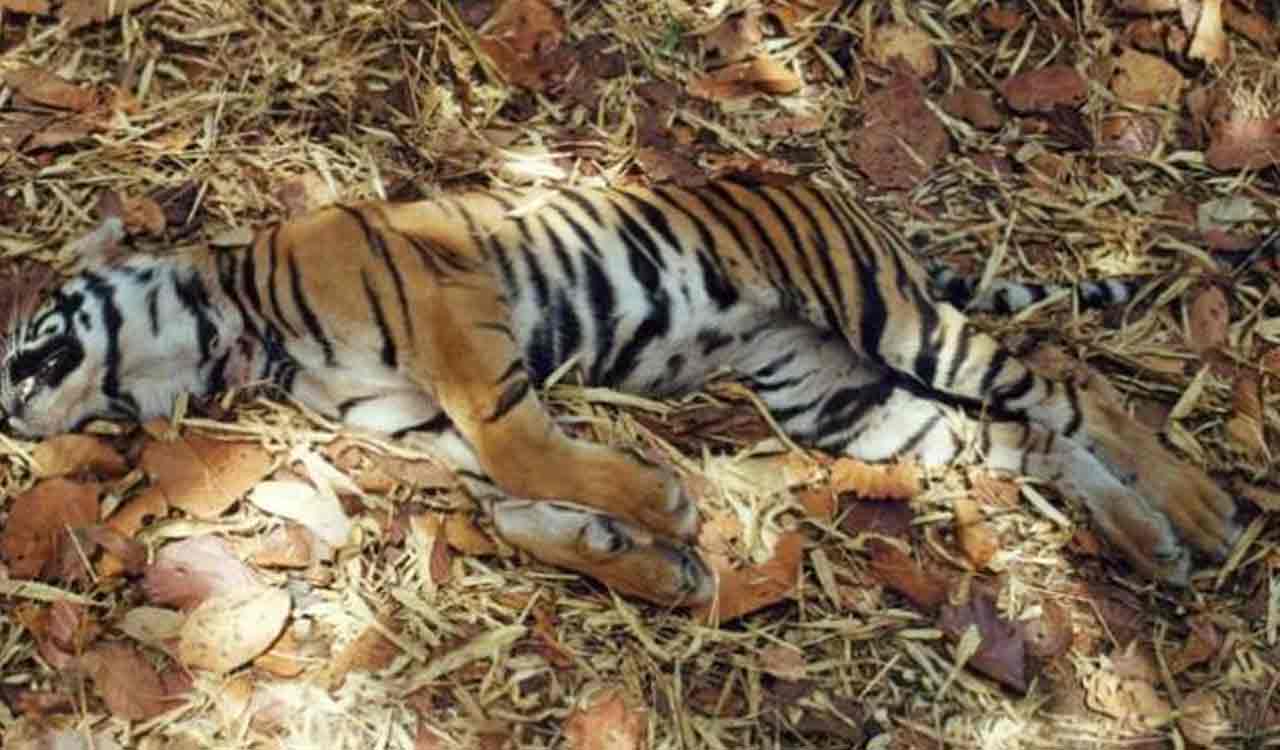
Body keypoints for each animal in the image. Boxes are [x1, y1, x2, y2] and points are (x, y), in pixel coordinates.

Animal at [0, 178, 1243, 605]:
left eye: (27, 338)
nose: (10, 414)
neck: (240, 331)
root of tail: (840, 199)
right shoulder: (427, 429)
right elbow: (513, 511)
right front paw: (650, 561)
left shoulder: (458, 321)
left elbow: (525, 456)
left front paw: (666, 509)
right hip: (852, 405)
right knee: (1019, 439)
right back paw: (1143, 540)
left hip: (883, 316)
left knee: (1066, 383)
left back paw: (1199, 510)